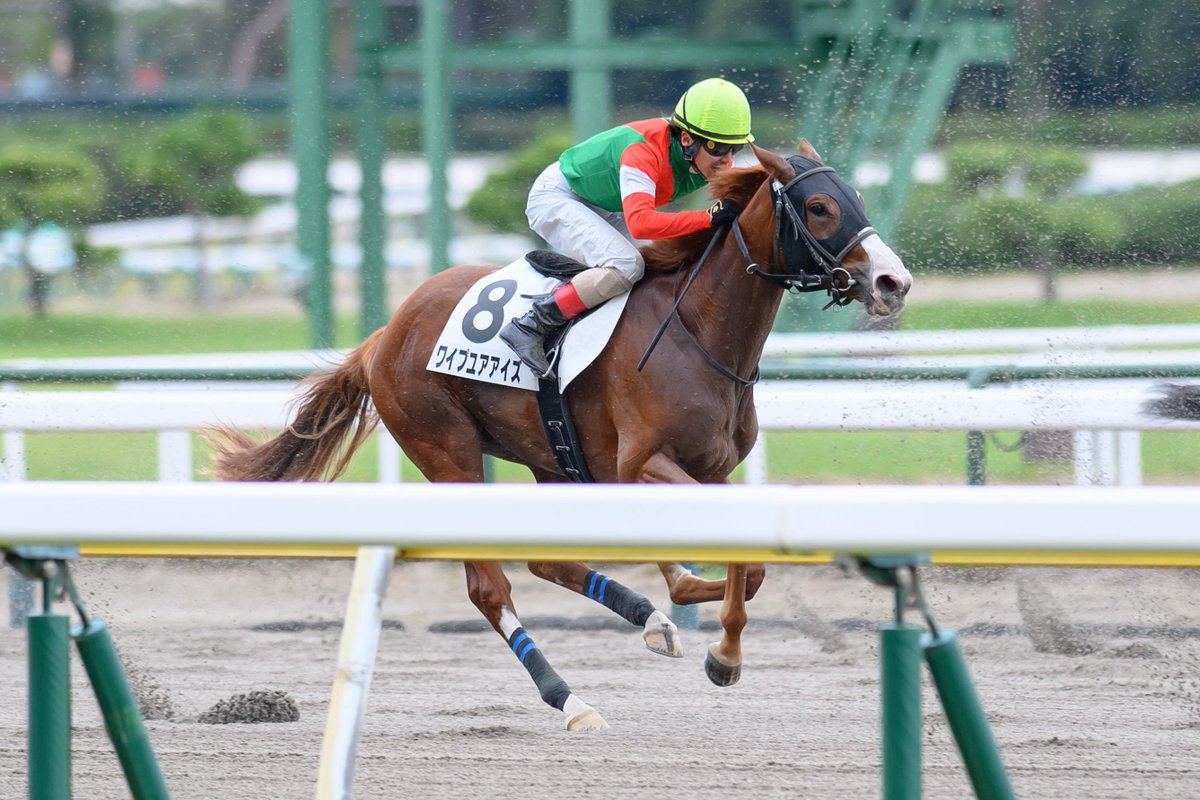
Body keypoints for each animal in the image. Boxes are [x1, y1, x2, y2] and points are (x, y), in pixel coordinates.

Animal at [207, 139, 912, 732]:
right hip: (447, 452)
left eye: (856, 197)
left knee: (547, 559)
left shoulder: (707, 470)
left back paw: (649, 621)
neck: (699, 330)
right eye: (819, 207)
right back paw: (570, 699)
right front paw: (716, 641)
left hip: (547, 453)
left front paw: (716, 641)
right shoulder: (642, 464)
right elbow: (719, 570)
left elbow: (739, 569)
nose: (893, 282)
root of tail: (386, 332)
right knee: (490, 589)